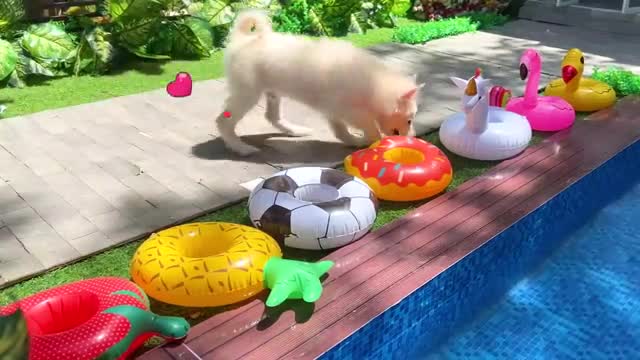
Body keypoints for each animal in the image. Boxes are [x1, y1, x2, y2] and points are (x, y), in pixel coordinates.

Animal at [216, 9, 424, 155]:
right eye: (409, 119)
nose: (413, 138)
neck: (374, 85)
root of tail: (242, 40)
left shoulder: (333, 109)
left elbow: (341, 131)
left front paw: (355, 142)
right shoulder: (349, 110)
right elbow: (369, 127)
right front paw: (373, 142)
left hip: (273, 92)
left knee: (272, 116)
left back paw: (295, 131)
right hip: (247, 92)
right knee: (223, 121)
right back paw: (240, 147)